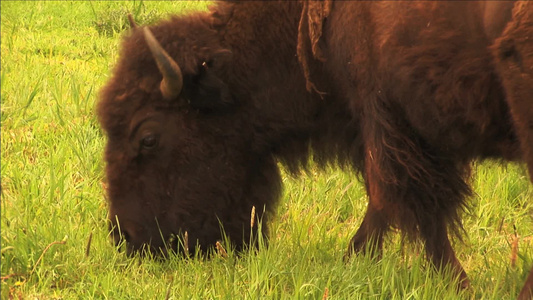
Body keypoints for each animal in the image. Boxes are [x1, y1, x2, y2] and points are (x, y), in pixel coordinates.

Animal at [98, 1, 532, 298]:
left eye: (148, 137)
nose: (127, 238)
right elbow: (394, 207)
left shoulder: (389, 119)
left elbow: (409, 208)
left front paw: (457, 284)